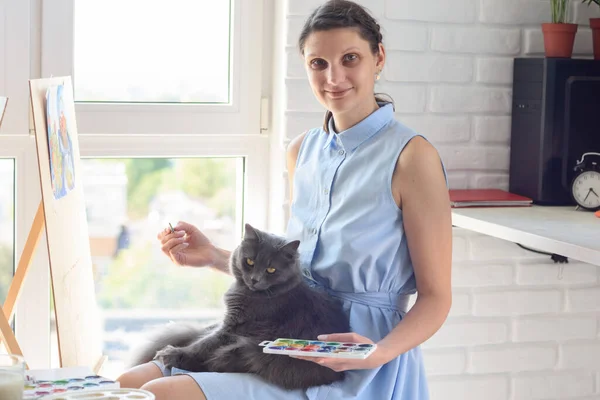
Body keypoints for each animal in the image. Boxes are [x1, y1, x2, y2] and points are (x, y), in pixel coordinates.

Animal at [127, 225, 352, 390]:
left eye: (271, 269)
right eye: (249, 261)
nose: (254, 279)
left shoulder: (234, 328)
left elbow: (204, 344)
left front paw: (173, 353)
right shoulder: (226, 323)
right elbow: (203, 338)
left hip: (246, 352)